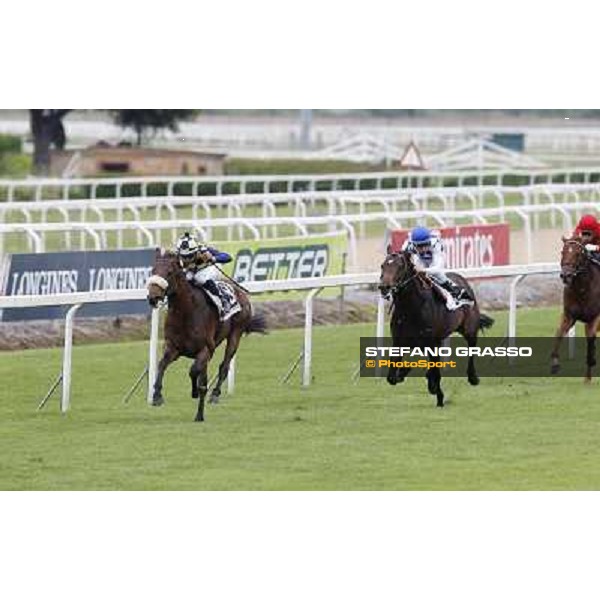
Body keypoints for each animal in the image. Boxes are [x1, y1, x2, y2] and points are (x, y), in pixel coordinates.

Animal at [145, 248, 268, 422]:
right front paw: (156, 395)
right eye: (153, 271)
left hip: (235, 334)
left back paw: (214, 395)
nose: (153, 297)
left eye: (169, 272)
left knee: (224, 365)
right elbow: (162, 365)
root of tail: (239, 291)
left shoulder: (206, 350)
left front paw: (195, 393)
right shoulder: (172, 347)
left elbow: (194, 371)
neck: (186, 313)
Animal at [378, 248, 494, 408]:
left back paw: (472, 377)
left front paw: (438, 395)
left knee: (471, 348)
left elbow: (435, 373)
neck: (411, 308)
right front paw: (403, 372)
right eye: (383, 265)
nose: (384, 287)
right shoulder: (399, 342)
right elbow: (391, 377)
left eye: (400, 266)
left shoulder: (432, 342)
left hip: (469, 329)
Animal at [552, 236, 600, 380]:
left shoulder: (596, 317)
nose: (566, 275)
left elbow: (591, 339)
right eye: (562, 252)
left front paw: (590, 363)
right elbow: (559, 333)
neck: (582, 289)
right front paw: (555, 364)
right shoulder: (569, 315)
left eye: (578, 254)